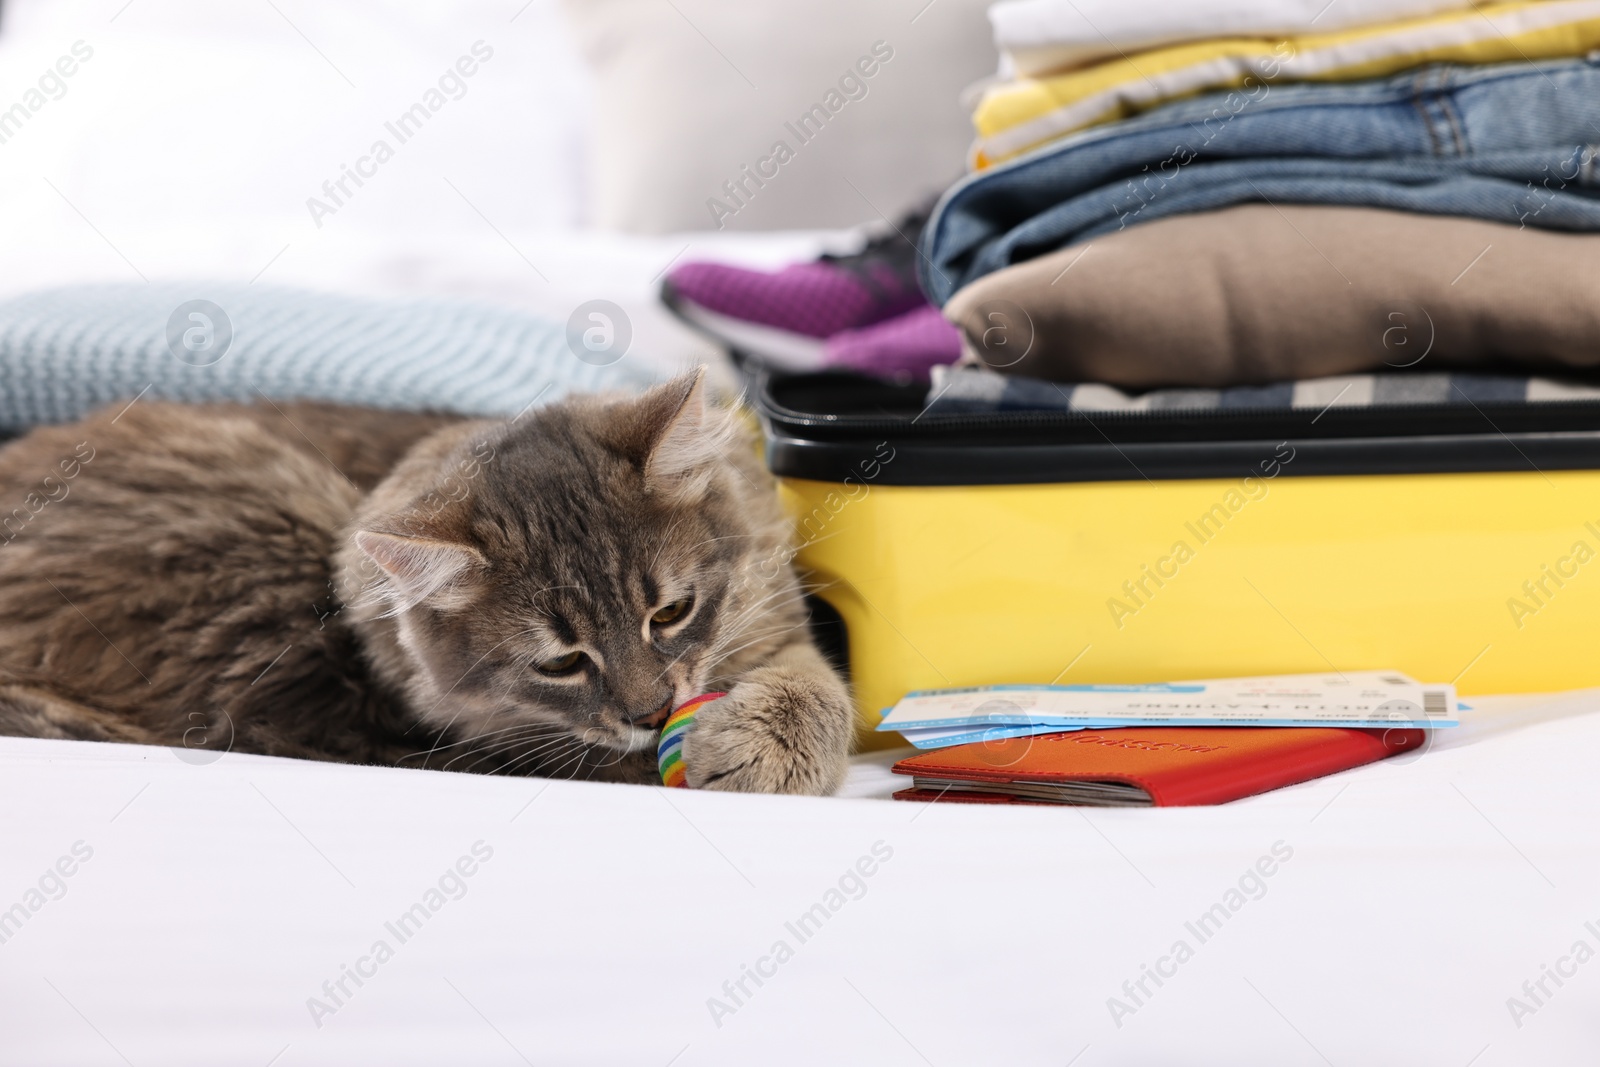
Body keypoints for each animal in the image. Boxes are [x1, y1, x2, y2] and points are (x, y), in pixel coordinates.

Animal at [0, 367, 864, 793]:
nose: (654, 714)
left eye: (672, 611)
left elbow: (816, 683)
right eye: (560, 662)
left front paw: (770, 741)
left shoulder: (774, 616)